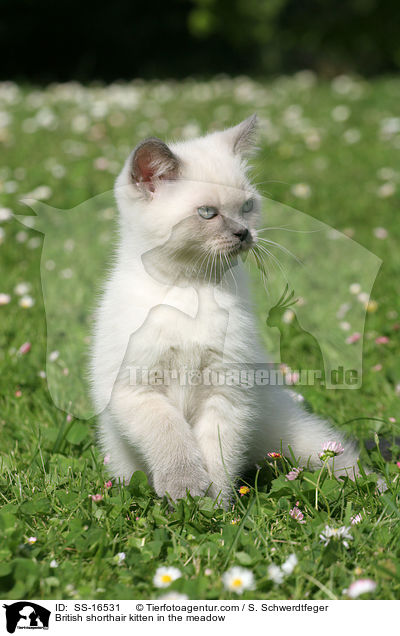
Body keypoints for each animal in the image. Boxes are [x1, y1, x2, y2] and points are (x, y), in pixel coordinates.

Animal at [90, 115, 360, 506]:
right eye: (207, 213)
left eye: (247, 206)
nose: (244, 233)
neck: (191, 289)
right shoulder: (136, 388)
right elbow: (172, 438)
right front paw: (186, 489)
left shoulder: (227, 390)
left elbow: (217, 452)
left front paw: (210, 504)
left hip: (294, 434)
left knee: (337, 456)